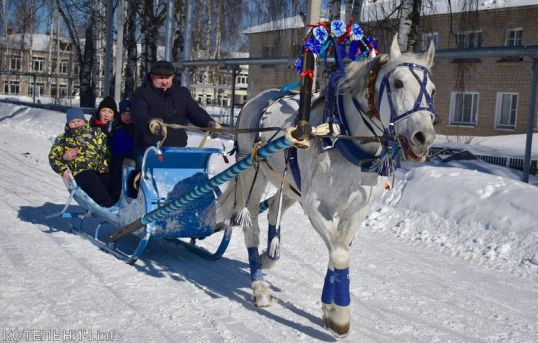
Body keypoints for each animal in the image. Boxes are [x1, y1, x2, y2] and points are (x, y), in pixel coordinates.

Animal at [217, 36, 436, 338]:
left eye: (433, 90)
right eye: (398, 83)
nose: (424, 137)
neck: (343, 138)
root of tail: (255, 100)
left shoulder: (356, 208)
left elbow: (339, 250)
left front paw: (328, 309)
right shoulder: (316, 205)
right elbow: (340, 253)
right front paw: (340, 316)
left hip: (291, 186)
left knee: (273, 210)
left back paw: (269, 255)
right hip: (253, 173)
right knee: (251, 225)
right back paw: (259, 287)